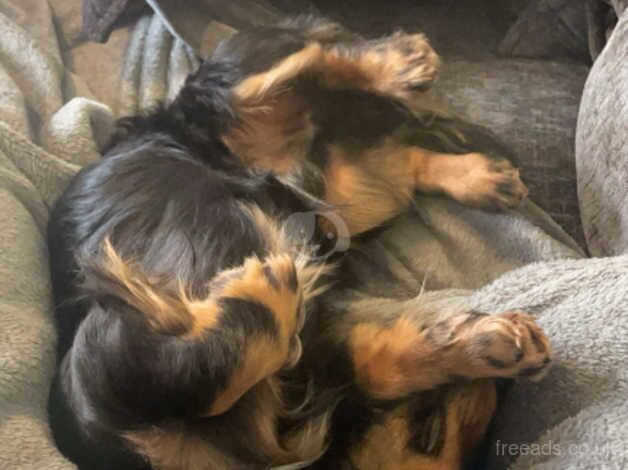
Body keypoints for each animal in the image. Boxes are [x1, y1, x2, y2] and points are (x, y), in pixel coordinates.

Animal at [47, 16, 548, 470]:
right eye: (432, 441)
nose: (497, 397)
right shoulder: (94, 390)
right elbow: (211, 381)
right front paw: (488, 344)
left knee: (312, 57)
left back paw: (407, 69)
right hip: (321, 181)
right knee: (319, 79)